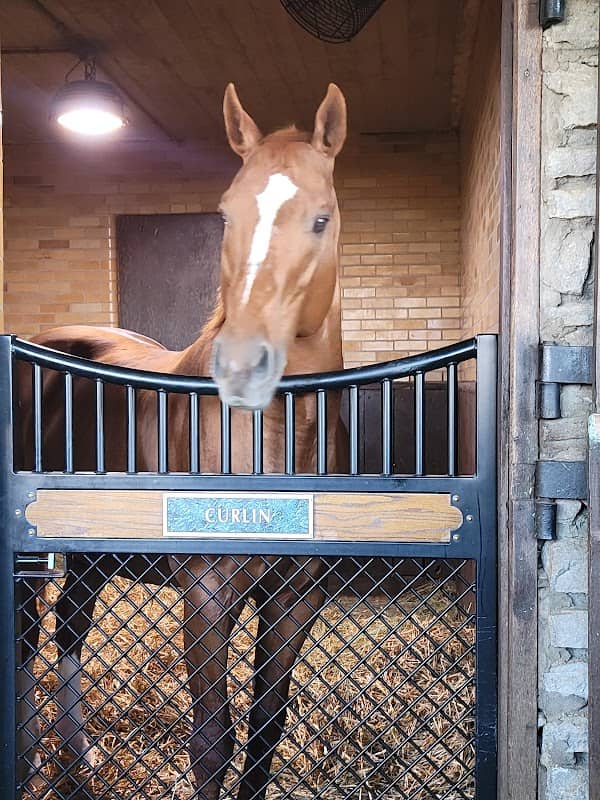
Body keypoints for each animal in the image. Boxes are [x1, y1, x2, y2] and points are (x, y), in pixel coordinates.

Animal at [17, 82, 347, 800]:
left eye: (321, 219)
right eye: (225, 216)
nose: (243, 362)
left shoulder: (294, 597)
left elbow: (264, 737)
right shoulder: (206, 591)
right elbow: (212, 742)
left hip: (93, 555)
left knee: (68, 632)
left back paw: (78, 762)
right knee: (28, 638)